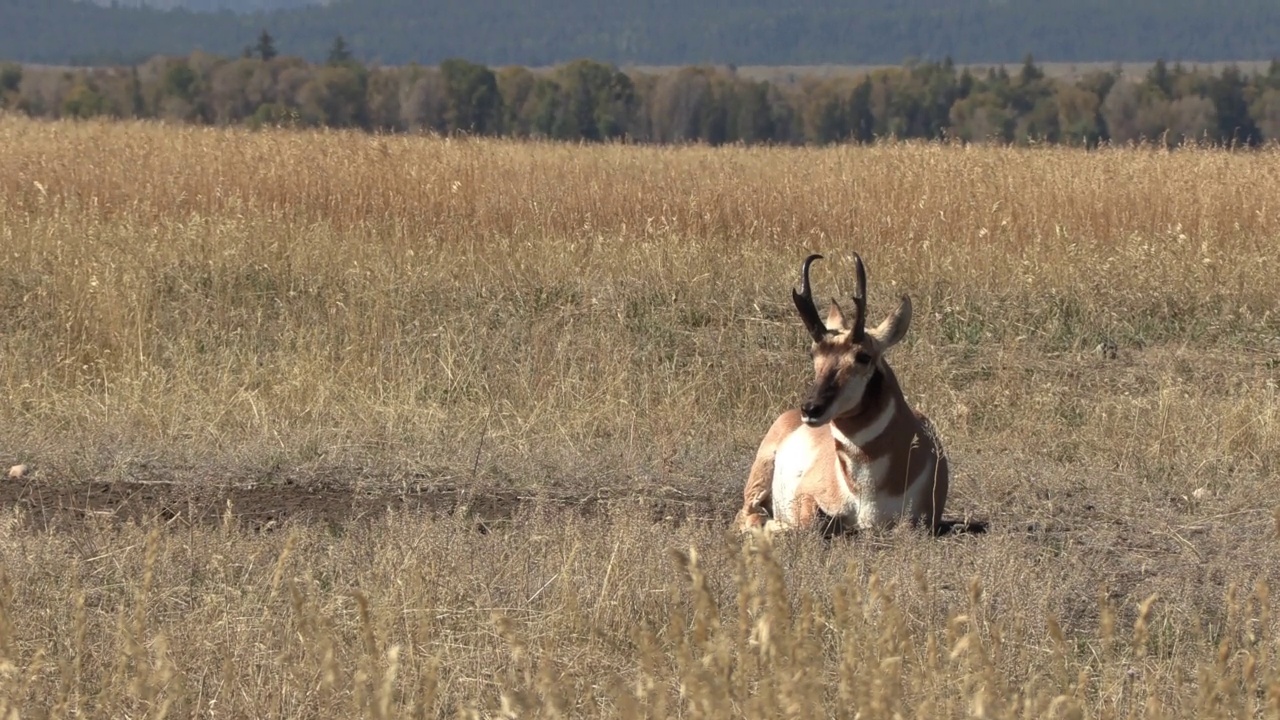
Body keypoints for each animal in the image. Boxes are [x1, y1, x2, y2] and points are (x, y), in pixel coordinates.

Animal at [737, 252, 947, 532]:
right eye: (813, 353)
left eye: (863, 356)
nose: (811, 408)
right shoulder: (805, 496)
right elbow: (810, 525)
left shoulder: (921, 522)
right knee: (746, 515)